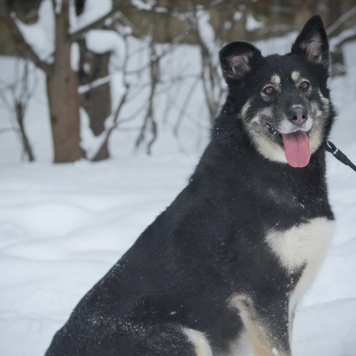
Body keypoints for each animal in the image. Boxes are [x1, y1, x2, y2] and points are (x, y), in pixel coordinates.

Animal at [46, 16, 336, 356]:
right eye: (268, 90)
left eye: (305, 86)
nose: (298, 114)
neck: (266, 166)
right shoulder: (265, 295)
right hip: (186, 337)